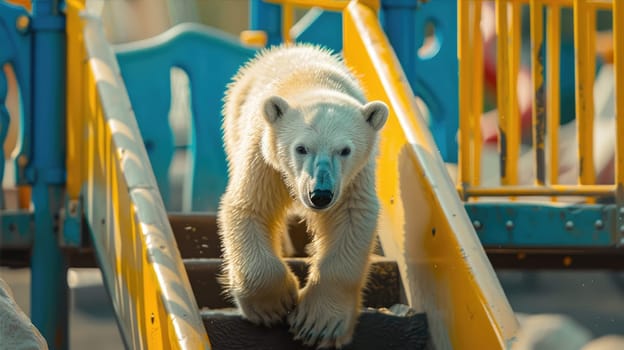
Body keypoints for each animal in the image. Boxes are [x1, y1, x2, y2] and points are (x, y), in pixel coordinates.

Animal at [217, 43, 388, 348]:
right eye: (301, 148)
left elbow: (352, 218)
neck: (312, 81)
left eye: (344, 150)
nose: (320, 194)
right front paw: (274, 305)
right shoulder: (264, 156)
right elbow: (250, 207)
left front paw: (319, 324)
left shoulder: (353, 177)